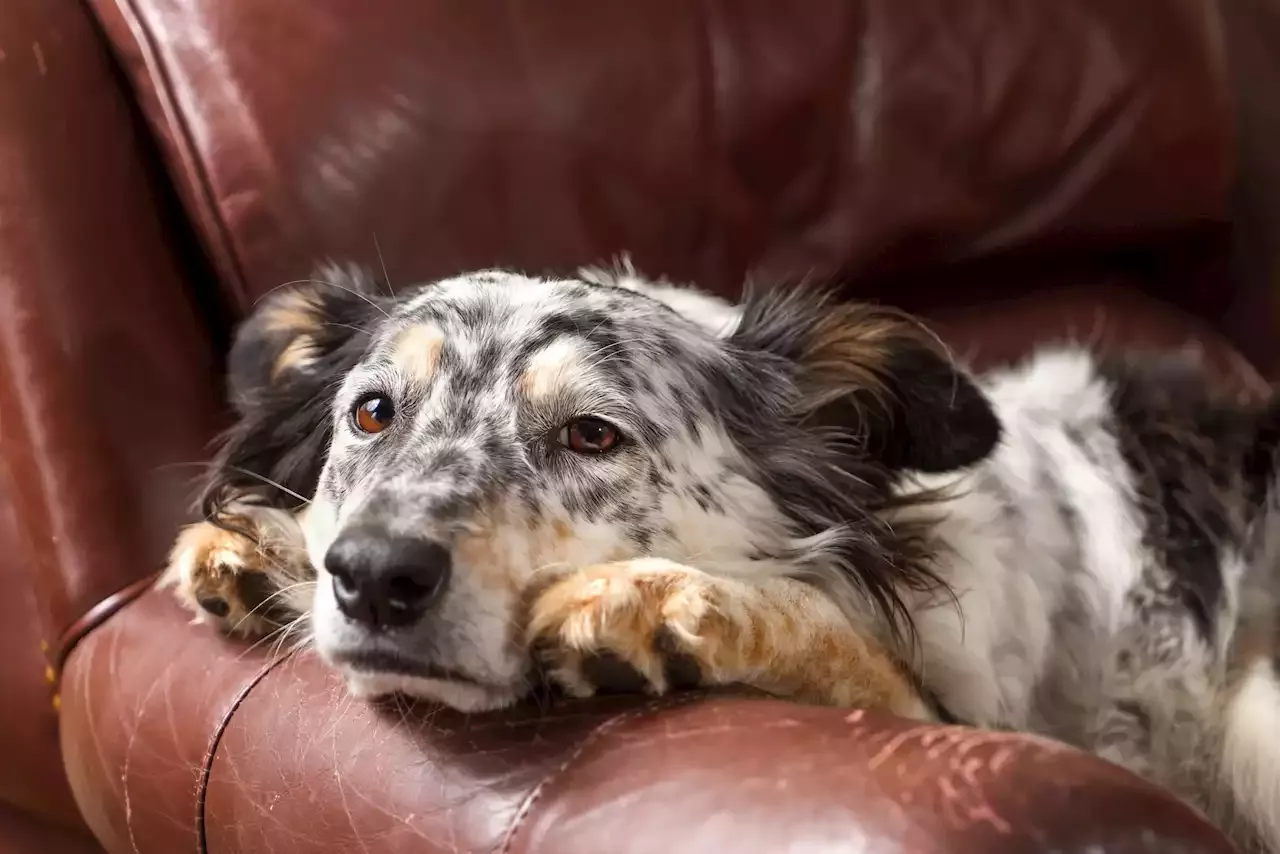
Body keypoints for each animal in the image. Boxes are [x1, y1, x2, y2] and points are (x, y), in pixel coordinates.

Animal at [165, 263, 1280, 850]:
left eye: (592, 435)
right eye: (372, 412)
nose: (374, 575)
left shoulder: (973, 717)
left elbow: (830, 631)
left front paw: (653, 601)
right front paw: (263, 548)